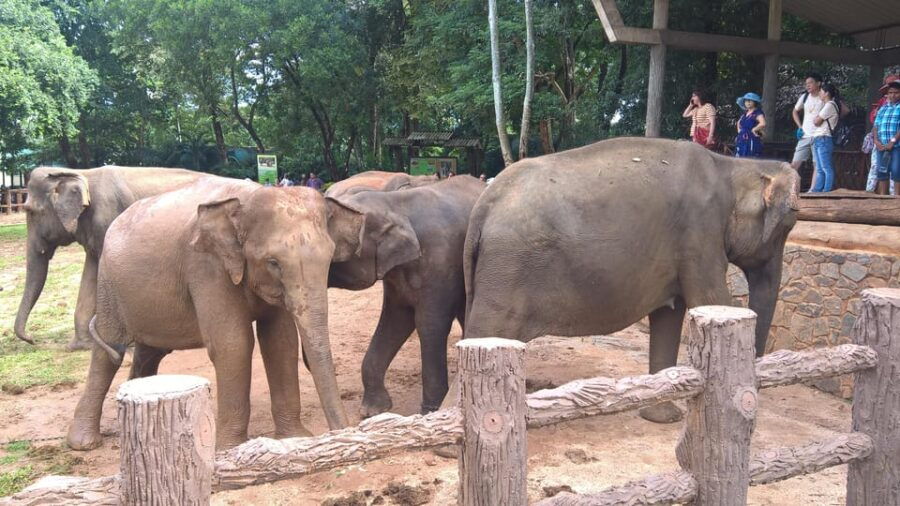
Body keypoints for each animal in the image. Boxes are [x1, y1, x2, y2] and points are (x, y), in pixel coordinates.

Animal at [15, 165, 203, 350]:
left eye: (30, 211)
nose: (32, 339)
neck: (79, 173)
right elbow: (90, 275)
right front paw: (80, 346)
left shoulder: (108, 221)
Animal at [67, 176, 363, 450]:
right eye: (273, 262)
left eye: (330, 259)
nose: (342, 431)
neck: (246, 199)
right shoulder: (206, 267)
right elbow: (233, 344)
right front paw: (231, 449)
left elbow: (280, 341)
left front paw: (294, 438)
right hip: (108, 283)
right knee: (107, 350)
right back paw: (83, 442)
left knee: (149, 350)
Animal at [327, 175, 485, 416]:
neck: (393, 204)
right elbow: (396, 320)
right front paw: (373, 411)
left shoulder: (439, 263)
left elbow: (429, 323)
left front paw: (430, 412)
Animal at [460, 137, 799, 423]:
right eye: (785, 228)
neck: (732, 164)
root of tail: (484, 204)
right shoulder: (701, 232)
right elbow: (712, 301)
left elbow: (669, 315)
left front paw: (664, 418)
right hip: (507, 269)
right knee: (484, 333)